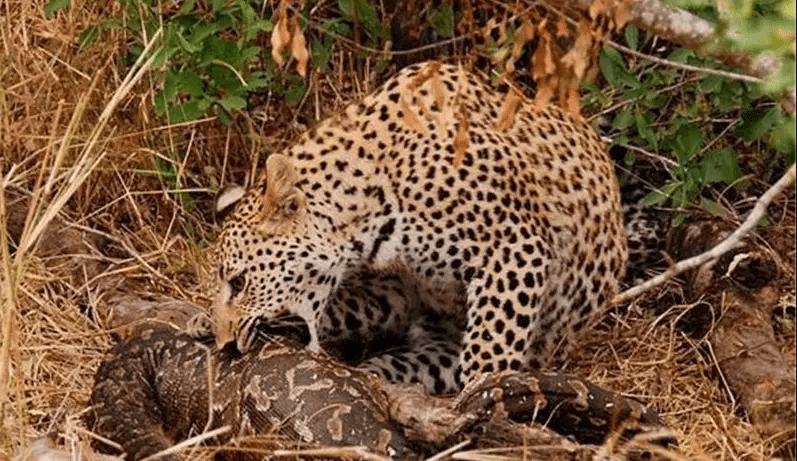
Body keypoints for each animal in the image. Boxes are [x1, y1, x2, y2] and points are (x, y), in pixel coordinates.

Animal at [213, 61, 628, 384]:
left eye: (239, 282)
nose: (225, 345)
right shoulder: (392, 286)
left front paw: (487, 397)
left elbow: (492, 343)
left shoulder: (513, 248)